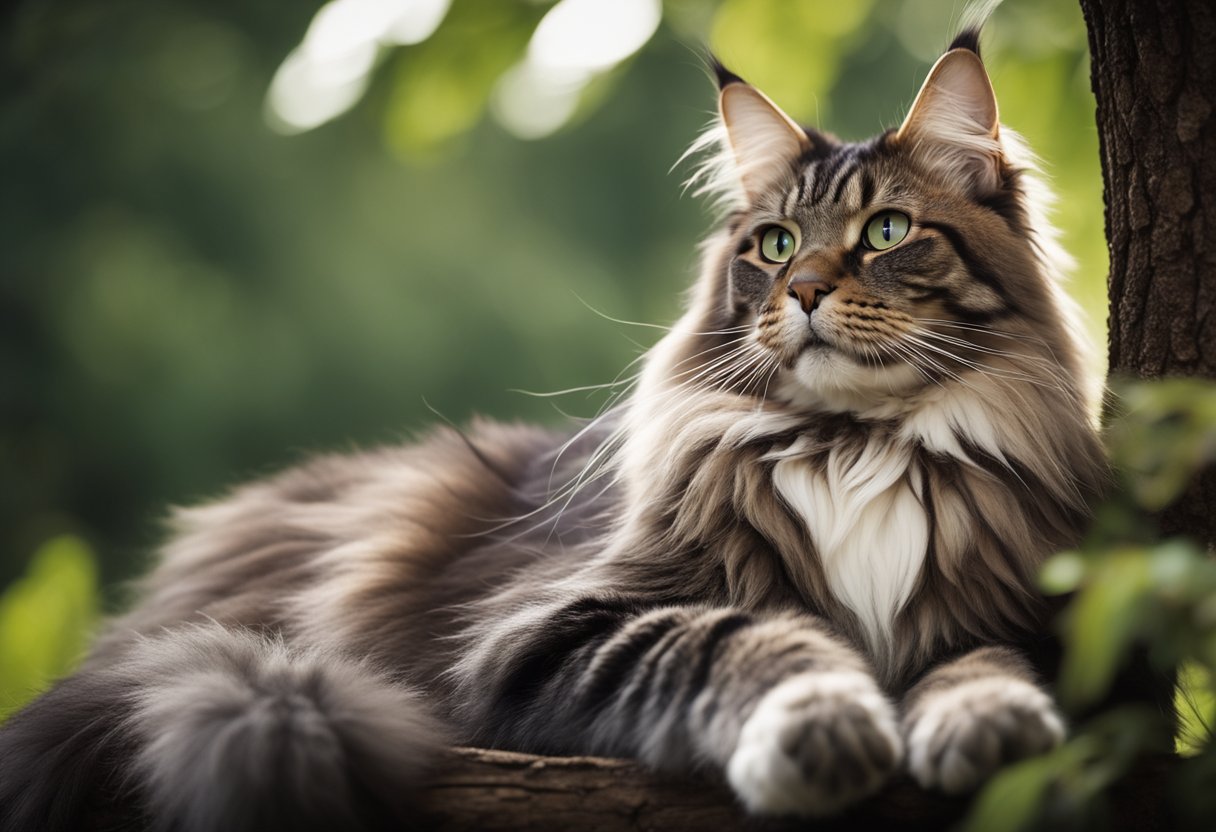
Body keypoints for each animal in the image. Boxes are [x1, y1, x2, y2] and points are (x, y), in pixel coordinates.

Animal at [2, 26, 1118, 832]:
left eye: (886, 231)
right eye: (773, 245)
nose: (800, 291)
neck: (855, 446)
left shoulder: (1024, 612)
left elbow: (982, 662)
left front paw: (988, 723)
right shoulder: (556, 622)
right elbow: (746, 639)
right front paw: (822, 729)